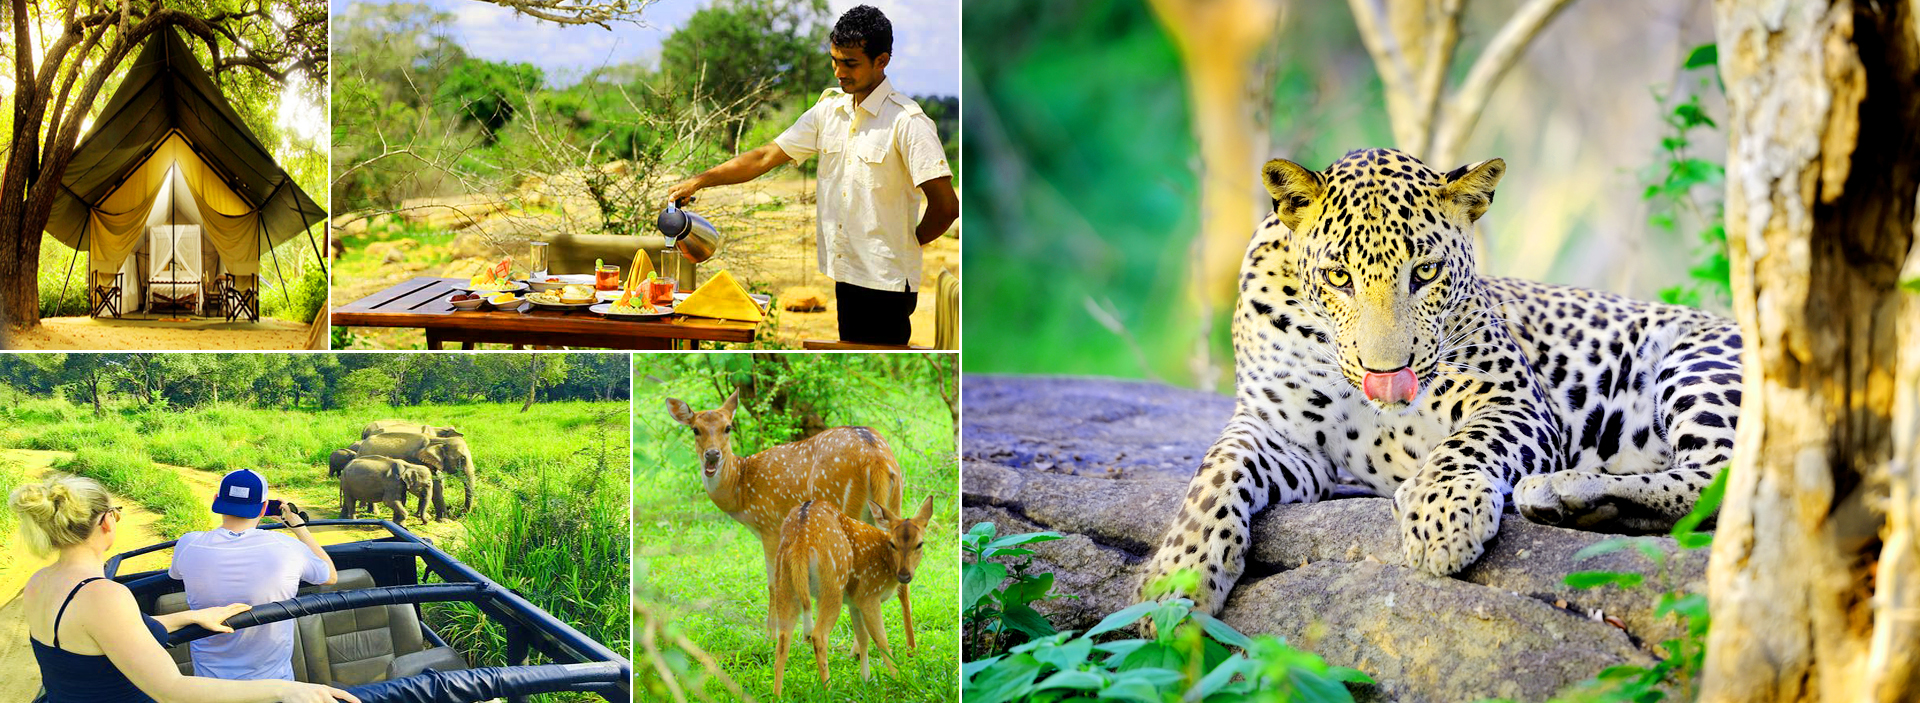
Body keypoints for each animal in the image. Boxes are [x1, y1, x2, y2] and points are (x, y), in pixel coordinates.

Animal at [668, 391, 913, 645]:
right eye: (695, 429)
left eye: (728, 427)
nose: (712, 455)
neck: (741, 490)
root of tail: (876, 459)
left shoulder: (769, 526)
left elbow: (772, 583)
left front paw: (770, 636)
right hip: (895, 500)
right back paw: (910, 648)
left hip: (844, 506)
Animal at [771, 495, 936, 695]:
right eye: (893, 544)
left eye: (919, 544)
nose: (904, 575)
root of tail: (801, 541)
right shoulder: (869, 594)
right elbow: (880, 638)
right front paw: (900, 679)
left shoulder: (854, 601)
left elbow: (863, 637)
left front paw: (865, 679)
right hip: (833, 584)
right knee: (819, 635)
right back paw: (829, 690)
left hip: (784, 582)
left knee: (783, 639)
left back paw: (776, 695)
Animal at [1136, 147, 1743, 614]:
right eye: (1338, 277)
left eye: (1425, 272)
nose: (1385, 374)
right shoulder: (1278, 431)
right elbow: (1214, 473)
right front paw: (1176, 578)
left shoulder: (1514, 402)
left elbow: (1466, 443)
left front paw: (1441, 514)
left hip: (1697, 360)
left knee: (1722, 479)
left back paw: (1565, 490)